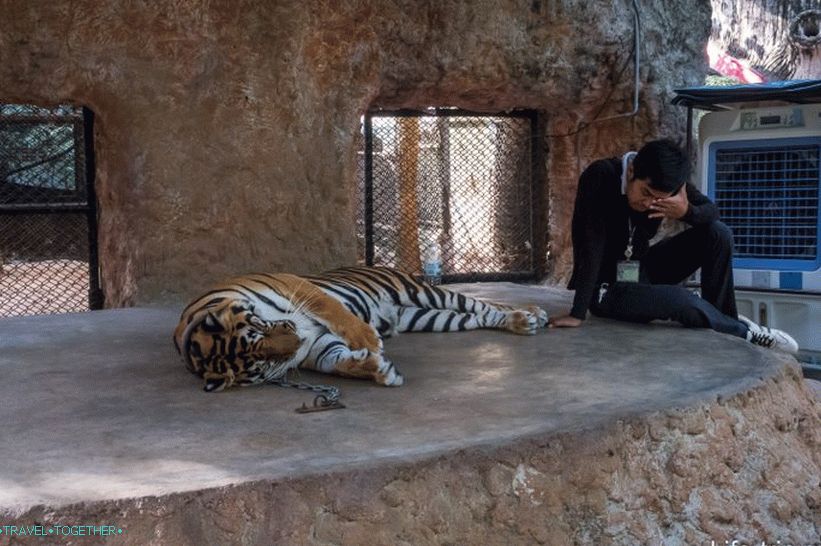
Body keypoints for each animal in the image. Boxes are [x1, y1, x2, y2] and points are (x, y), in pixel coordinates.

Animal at [173, 264, 548, 388]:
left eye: (260, 330)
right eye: (262, 363)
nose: (296, 339)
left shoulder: (296, 287)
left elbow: (333, 310)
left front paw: (367, 340)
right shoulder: (316, 346)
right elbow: (336, 362)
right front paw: (377, 369)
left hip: (424, 292)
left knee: (483, 305)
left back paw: (530, 315)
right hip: (429, 318)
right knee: (477, 317)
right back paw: (523, 319)